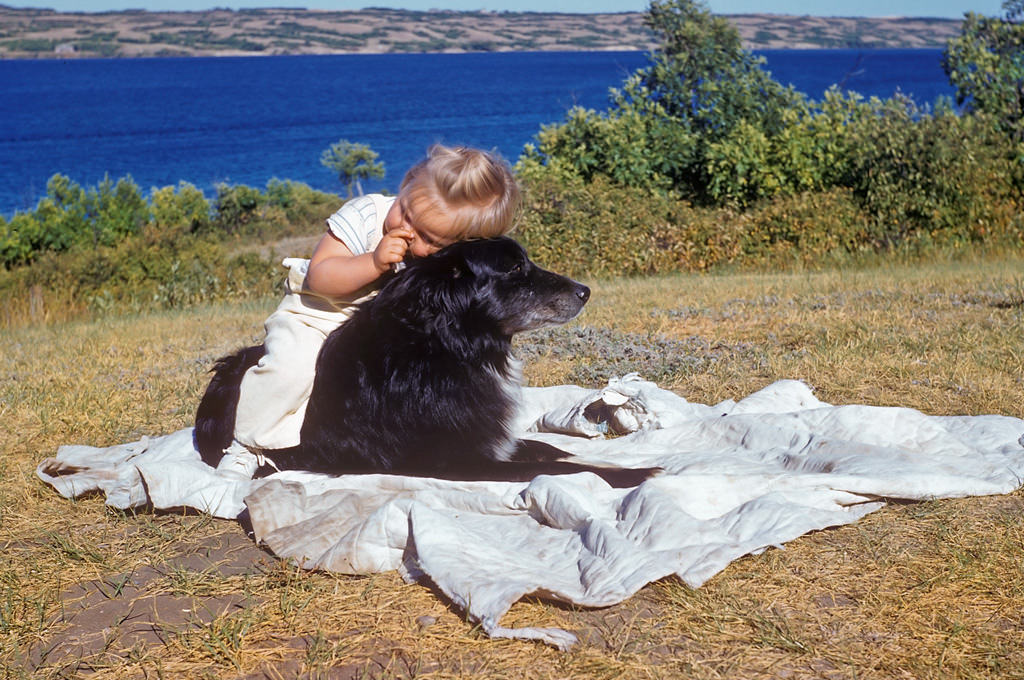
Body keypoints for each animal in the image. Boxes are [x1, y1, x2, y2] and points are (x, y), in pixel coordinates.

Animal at [193, 236, 655, 485]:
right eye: (514, 268)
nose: (585, 291)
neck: (449, 346)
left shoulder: (489, 439)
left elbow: (549, 451)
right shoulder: (458, 461)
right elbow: (565, 471)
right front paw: (639, 474)